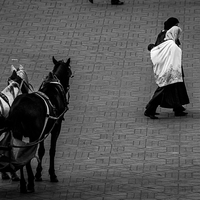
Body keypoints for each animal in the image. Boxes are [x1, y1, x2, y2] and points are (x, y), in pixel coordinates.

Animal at [4, 55, 72, 192]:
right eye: (69, 72)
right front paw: (52, 174)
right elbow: (51, 150)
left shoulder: (43, 131)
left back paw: (23, 183)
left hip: (18, 133)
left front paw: (39, 173)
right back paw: (29, 182)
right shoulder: (56, 127)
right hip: (33, 135)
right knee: (26, 155)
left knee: (20, 155)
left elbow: (41, 150)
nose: (67, 87)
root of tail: (19, 108)